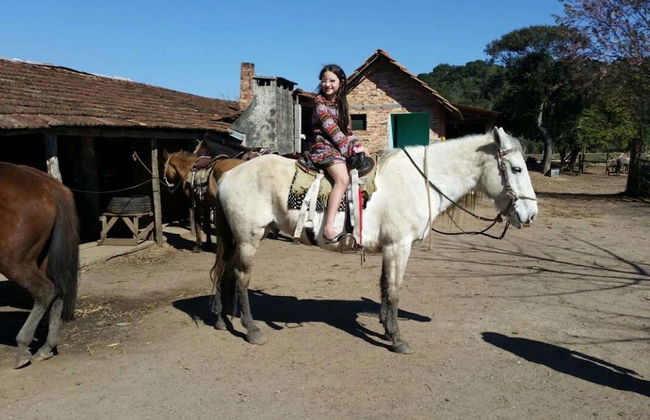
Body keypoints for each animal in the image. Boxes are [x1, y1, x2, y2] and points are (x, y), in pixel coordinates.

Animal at [0, 162, 79, 368]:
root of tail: (48, 185)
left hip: (14, 262)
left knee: (45, 291)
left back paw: (23, 348)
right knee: (57, 291)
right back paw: (47, 347)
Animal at [210, 127, 538, 353]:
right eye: (517, 168)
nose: (531, 215)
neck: (418, 180)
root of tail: (228, 175)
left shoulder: (390, 248)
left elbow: (383, 287)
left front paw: (385, 328)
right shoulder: (399, 246)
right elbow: (394, 289)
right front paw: (397, 339)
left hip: (238, 238)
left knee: (226, 274)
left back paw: (222, 319)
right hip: (249, 237)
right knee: (241, 278)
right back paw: (251, 329)